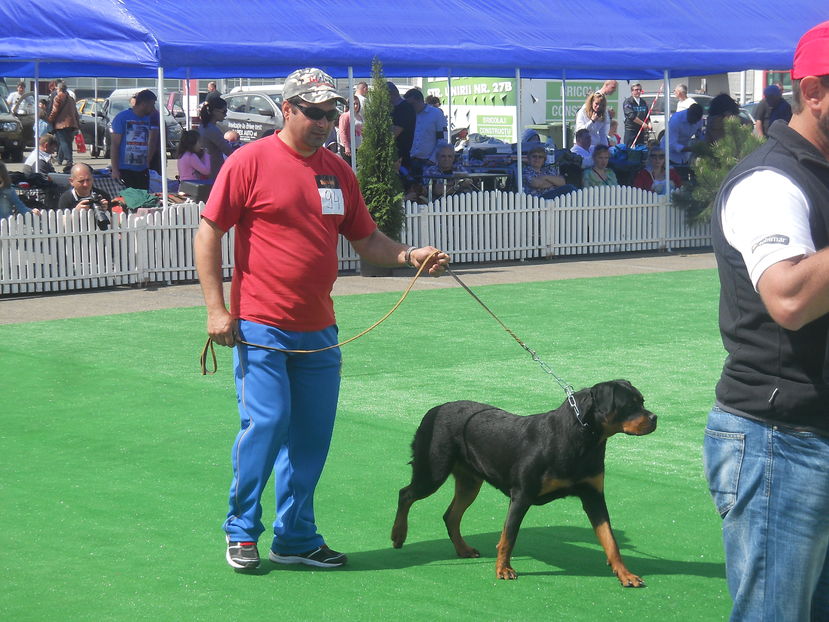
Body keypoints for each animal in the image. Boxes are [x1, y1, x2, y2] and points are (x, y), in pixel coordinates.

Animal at [390, 379, 656, 586]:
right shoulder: (521, 495)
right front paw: (503, 569)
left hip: (469, 481)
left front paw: (625, 574)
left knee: (450, 515)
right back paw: (398, 535)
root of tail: (434, 409)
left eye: (642, 401)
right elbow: (509, 536)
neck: (584, 440)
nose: (655, 417)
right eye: (629, 405)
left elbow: (610, 540)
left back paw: (463, 549)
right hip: (433, 472)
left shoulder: (593, 496)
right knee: (406, 494)